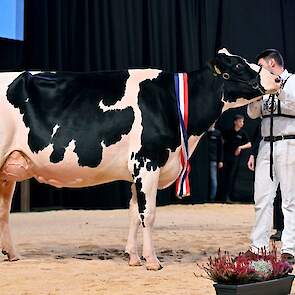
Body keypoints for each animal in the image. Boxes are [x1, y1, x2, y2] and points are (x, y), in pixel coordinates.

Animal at [0, 49, 280, 272]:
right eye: (238, 66)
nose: (277, 78)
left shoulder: (136, 171)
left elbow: (134, 214)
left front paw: (134, 258)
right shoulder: (147, 162)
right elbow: (149, 214)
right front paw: (152, 261)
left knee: (4, 211)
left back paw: (12, 255)